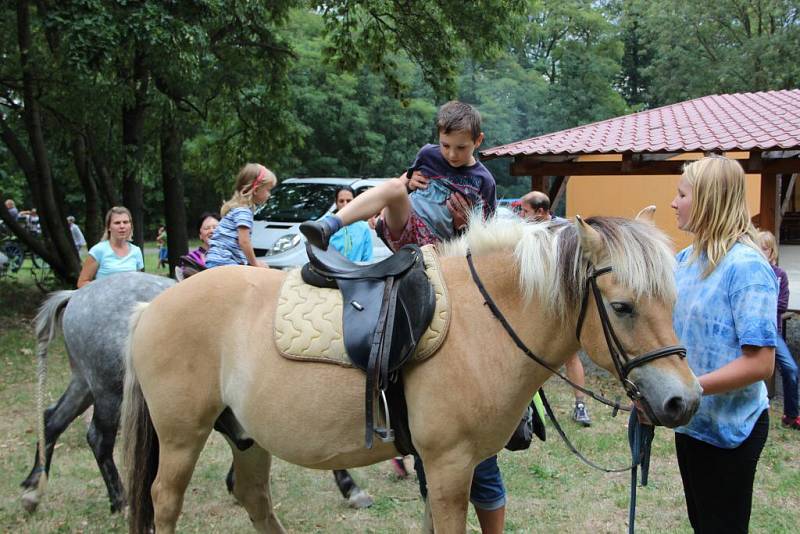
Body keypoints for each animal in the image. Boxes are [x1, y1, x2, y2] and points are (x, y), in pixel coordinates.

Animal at [21, 272, 372, 516]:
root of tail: (77, 295)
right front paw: (351, 488)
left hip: (86, 384)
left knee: (52, 420)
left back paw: (33, 489)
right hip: (109, 391)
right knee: (99, 438)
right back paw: (120, 502)